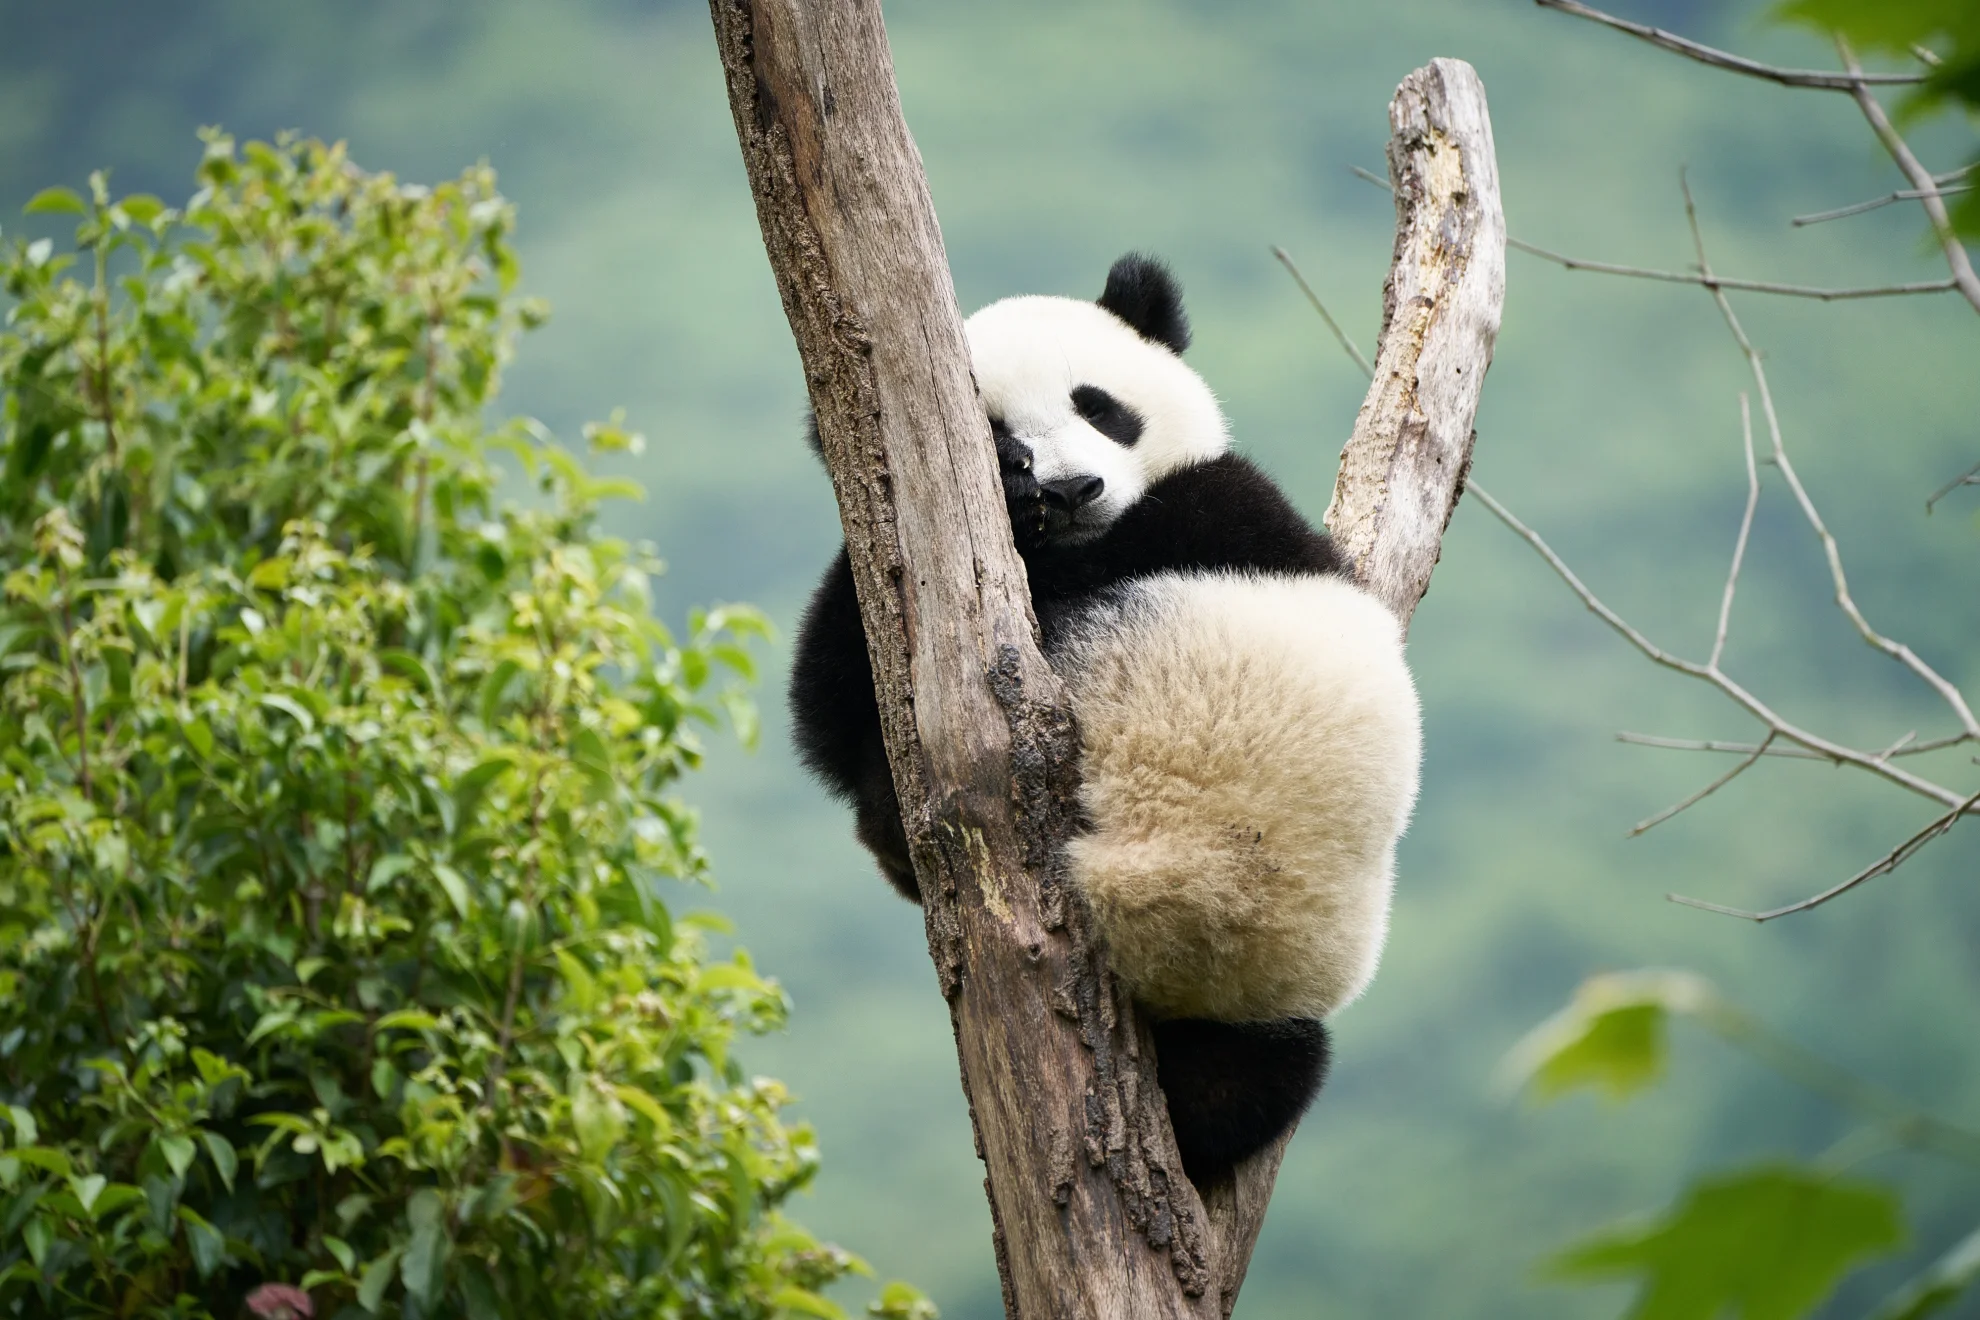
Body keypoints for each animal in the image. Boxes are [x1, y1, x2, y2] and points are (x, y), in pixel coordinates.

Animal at [788, 254, 1421, 1187]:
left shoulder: (1222, 512)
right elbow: (829, 708)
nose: (1072, 487)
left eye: (1098, 405)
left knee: (1249, 1082)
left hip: (1268, 972)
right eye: (998, 431)